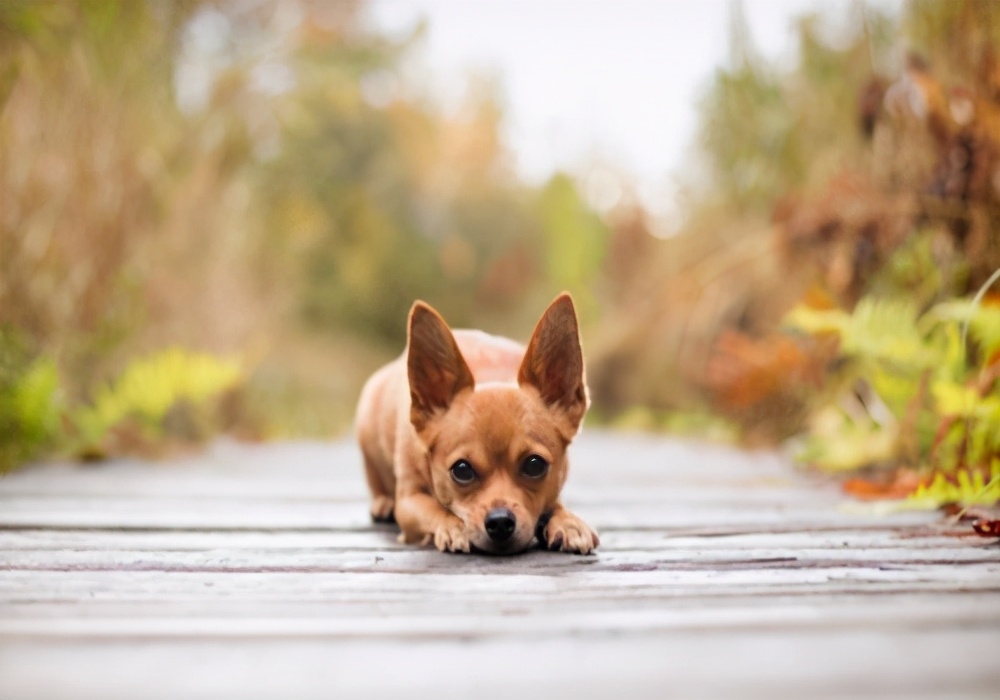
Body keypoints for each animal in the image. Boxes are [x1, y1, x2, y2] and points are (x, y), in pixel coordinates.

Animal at [356, 292, 596, 556]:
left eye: (535, 465)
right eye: (461, 470)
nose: (500, 521)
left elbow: (554, 502)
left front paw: (568, 522)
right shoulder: (409, 502)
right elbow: (434, 510)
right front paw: (452, 526)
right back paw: (384, 503)